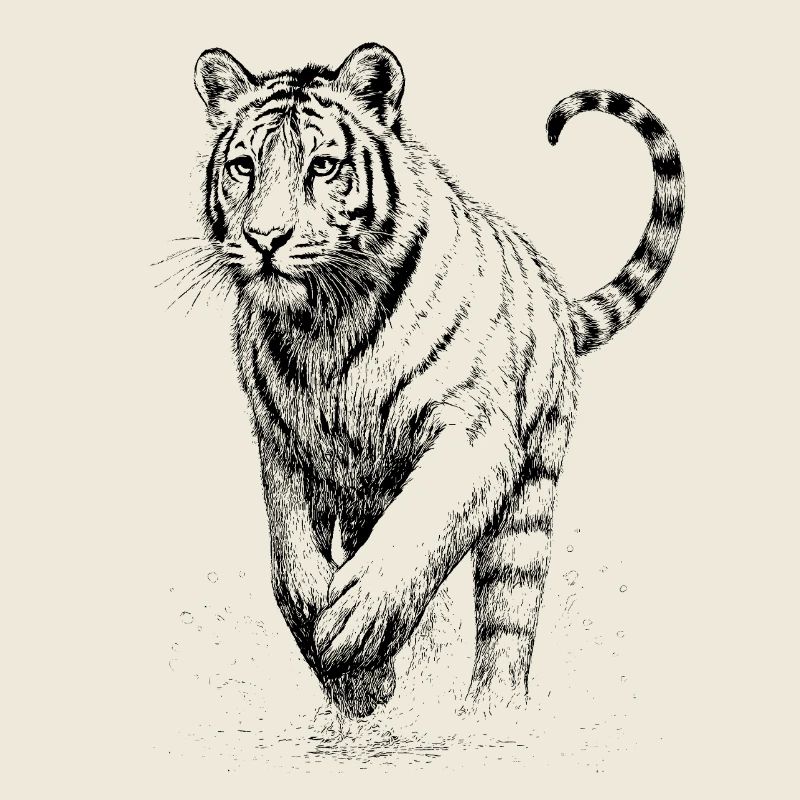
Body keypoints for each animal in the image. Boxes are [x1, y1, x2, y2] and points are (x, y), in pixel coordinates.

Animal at [187, 42, 684, 718]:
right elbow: (289, 557)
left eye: (322, 166)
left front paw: (354, 626)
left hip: (531, 494)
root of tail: (556, 296)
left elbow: (420, 527)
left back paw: (491, 713)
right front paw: (348, 671)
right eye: (243, 167)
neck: (323, 323)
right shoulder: (283, 442)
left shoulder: (474, 432)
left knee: (508, 609)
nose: (264, 239)